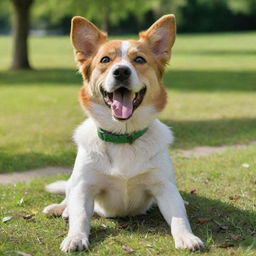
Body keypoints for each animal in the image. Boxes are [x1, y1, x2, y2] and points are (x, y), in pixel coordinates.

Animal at [43, 14, 204, 252]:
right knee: (68, 195)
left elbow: (178, 217)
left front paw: (186, 236)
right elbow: (80, 216)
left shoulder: (164, 186)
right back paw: (60, 209)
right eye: (105, 60)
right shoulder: (84, 187)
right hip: (74, 181)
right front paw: (75, 237)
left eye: (139, 60)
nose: (121, 71)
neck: (123, 137)